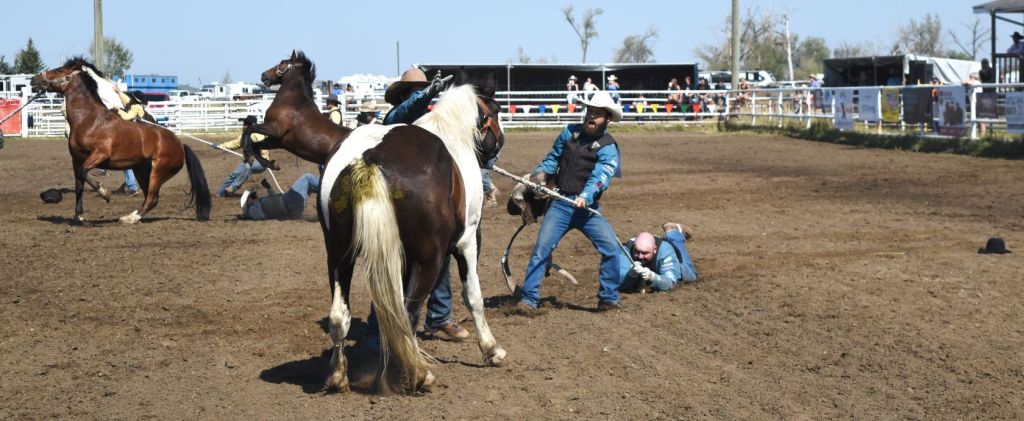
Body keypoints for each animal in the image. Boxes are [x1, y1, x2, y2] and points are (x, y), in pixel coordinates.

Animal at [30, 57, 211, 224]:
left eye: (60, 70)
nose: (34, 79)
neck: (89, 120)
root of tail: (180, 144)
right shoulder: (77, 160)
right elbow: (79, 184)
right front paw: (79, 216)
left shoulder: (100, 155)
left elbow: (83, 173)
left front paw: (105, 193)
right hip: (141, 171)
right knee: (150, 197)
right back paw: (132, 216)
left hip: (158, 173)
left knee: (152, 198)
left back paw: (129, 218)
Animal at [318, 77, 505, 393]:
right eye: (497, 109)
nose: (500, 143)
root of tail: (370, 157)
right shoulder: (468, 241)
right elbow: (473, 296)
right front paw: (491, 349)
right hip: (429, 260)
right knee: (407, 313)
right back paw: (418, 373)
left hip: (339, 255)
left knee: (340, 316)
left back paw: (337, 374)